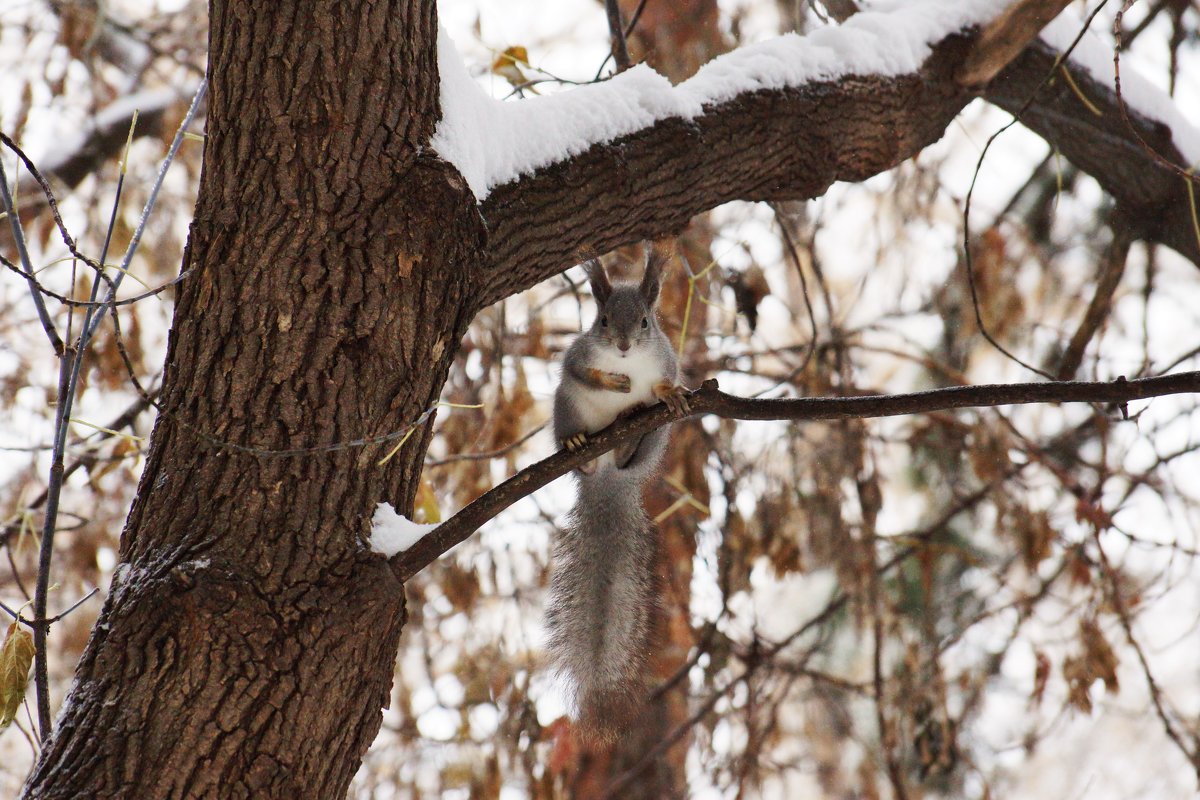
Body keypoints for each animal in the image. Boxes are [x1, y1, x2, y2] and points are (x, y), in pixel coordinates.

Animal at [547, 237, 691, 743]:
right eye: (604, 321)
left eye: (646, 321)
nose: (625, 347)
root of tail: (611, 473)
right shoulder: (576, 356)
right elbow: (580, 370)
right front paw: (610, 380)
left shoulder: (667, 359)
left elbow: (666, 381)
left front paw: (668, 392)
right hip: (565, 408)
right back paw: (580, 450)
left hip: (654, 439)